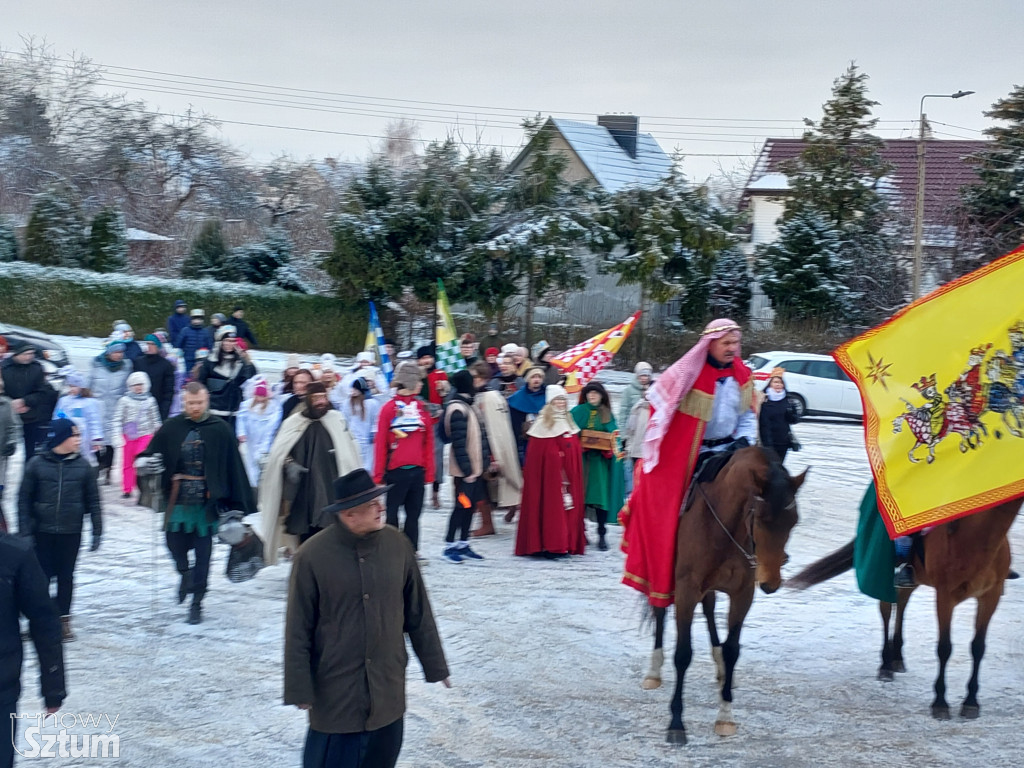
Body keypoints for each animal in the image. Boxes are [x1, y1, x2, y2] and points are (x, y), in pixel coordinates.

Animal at [655, 448, 806, 741]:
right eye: (761, 519)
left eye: (794, 522)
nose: (771, 582)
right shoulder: (686, 590)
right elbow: (683, 653)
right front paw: (676, 722)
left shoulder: (742, 593)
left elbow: (732, 649)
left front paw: (725, 715)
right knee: (657, 608)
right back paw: (653, 670)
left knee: (710, 611)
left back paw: (721, 670)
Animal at [786, 499, 1019, 720]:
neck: (979, 541)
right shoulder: (945, 597)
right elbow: (944, 648)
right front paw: (940, 702)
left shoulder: (990, 597)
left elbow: (978, 648)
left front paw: (971, 702)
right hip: (884, 573)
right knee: (886, 611)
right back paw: (886, 664)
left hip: (914, 578)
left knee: (902, 603)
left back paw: (897, 656)